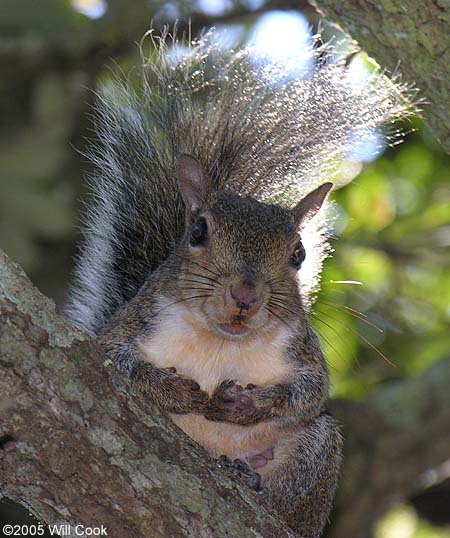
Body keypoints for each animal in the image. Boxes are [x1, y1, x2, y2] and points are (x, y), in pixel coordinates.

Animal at [67, 28, 414, 536]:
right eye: (197, 231)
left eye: (298, 254)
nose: (245, 295)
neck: (220, 342)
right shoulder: (130, 325)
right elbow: (113, 357)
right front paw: (173, 390)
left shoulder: (303, 353)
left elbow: (310, 392)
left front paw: (251, 405)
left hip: (317, 451)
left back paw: (254, 484)